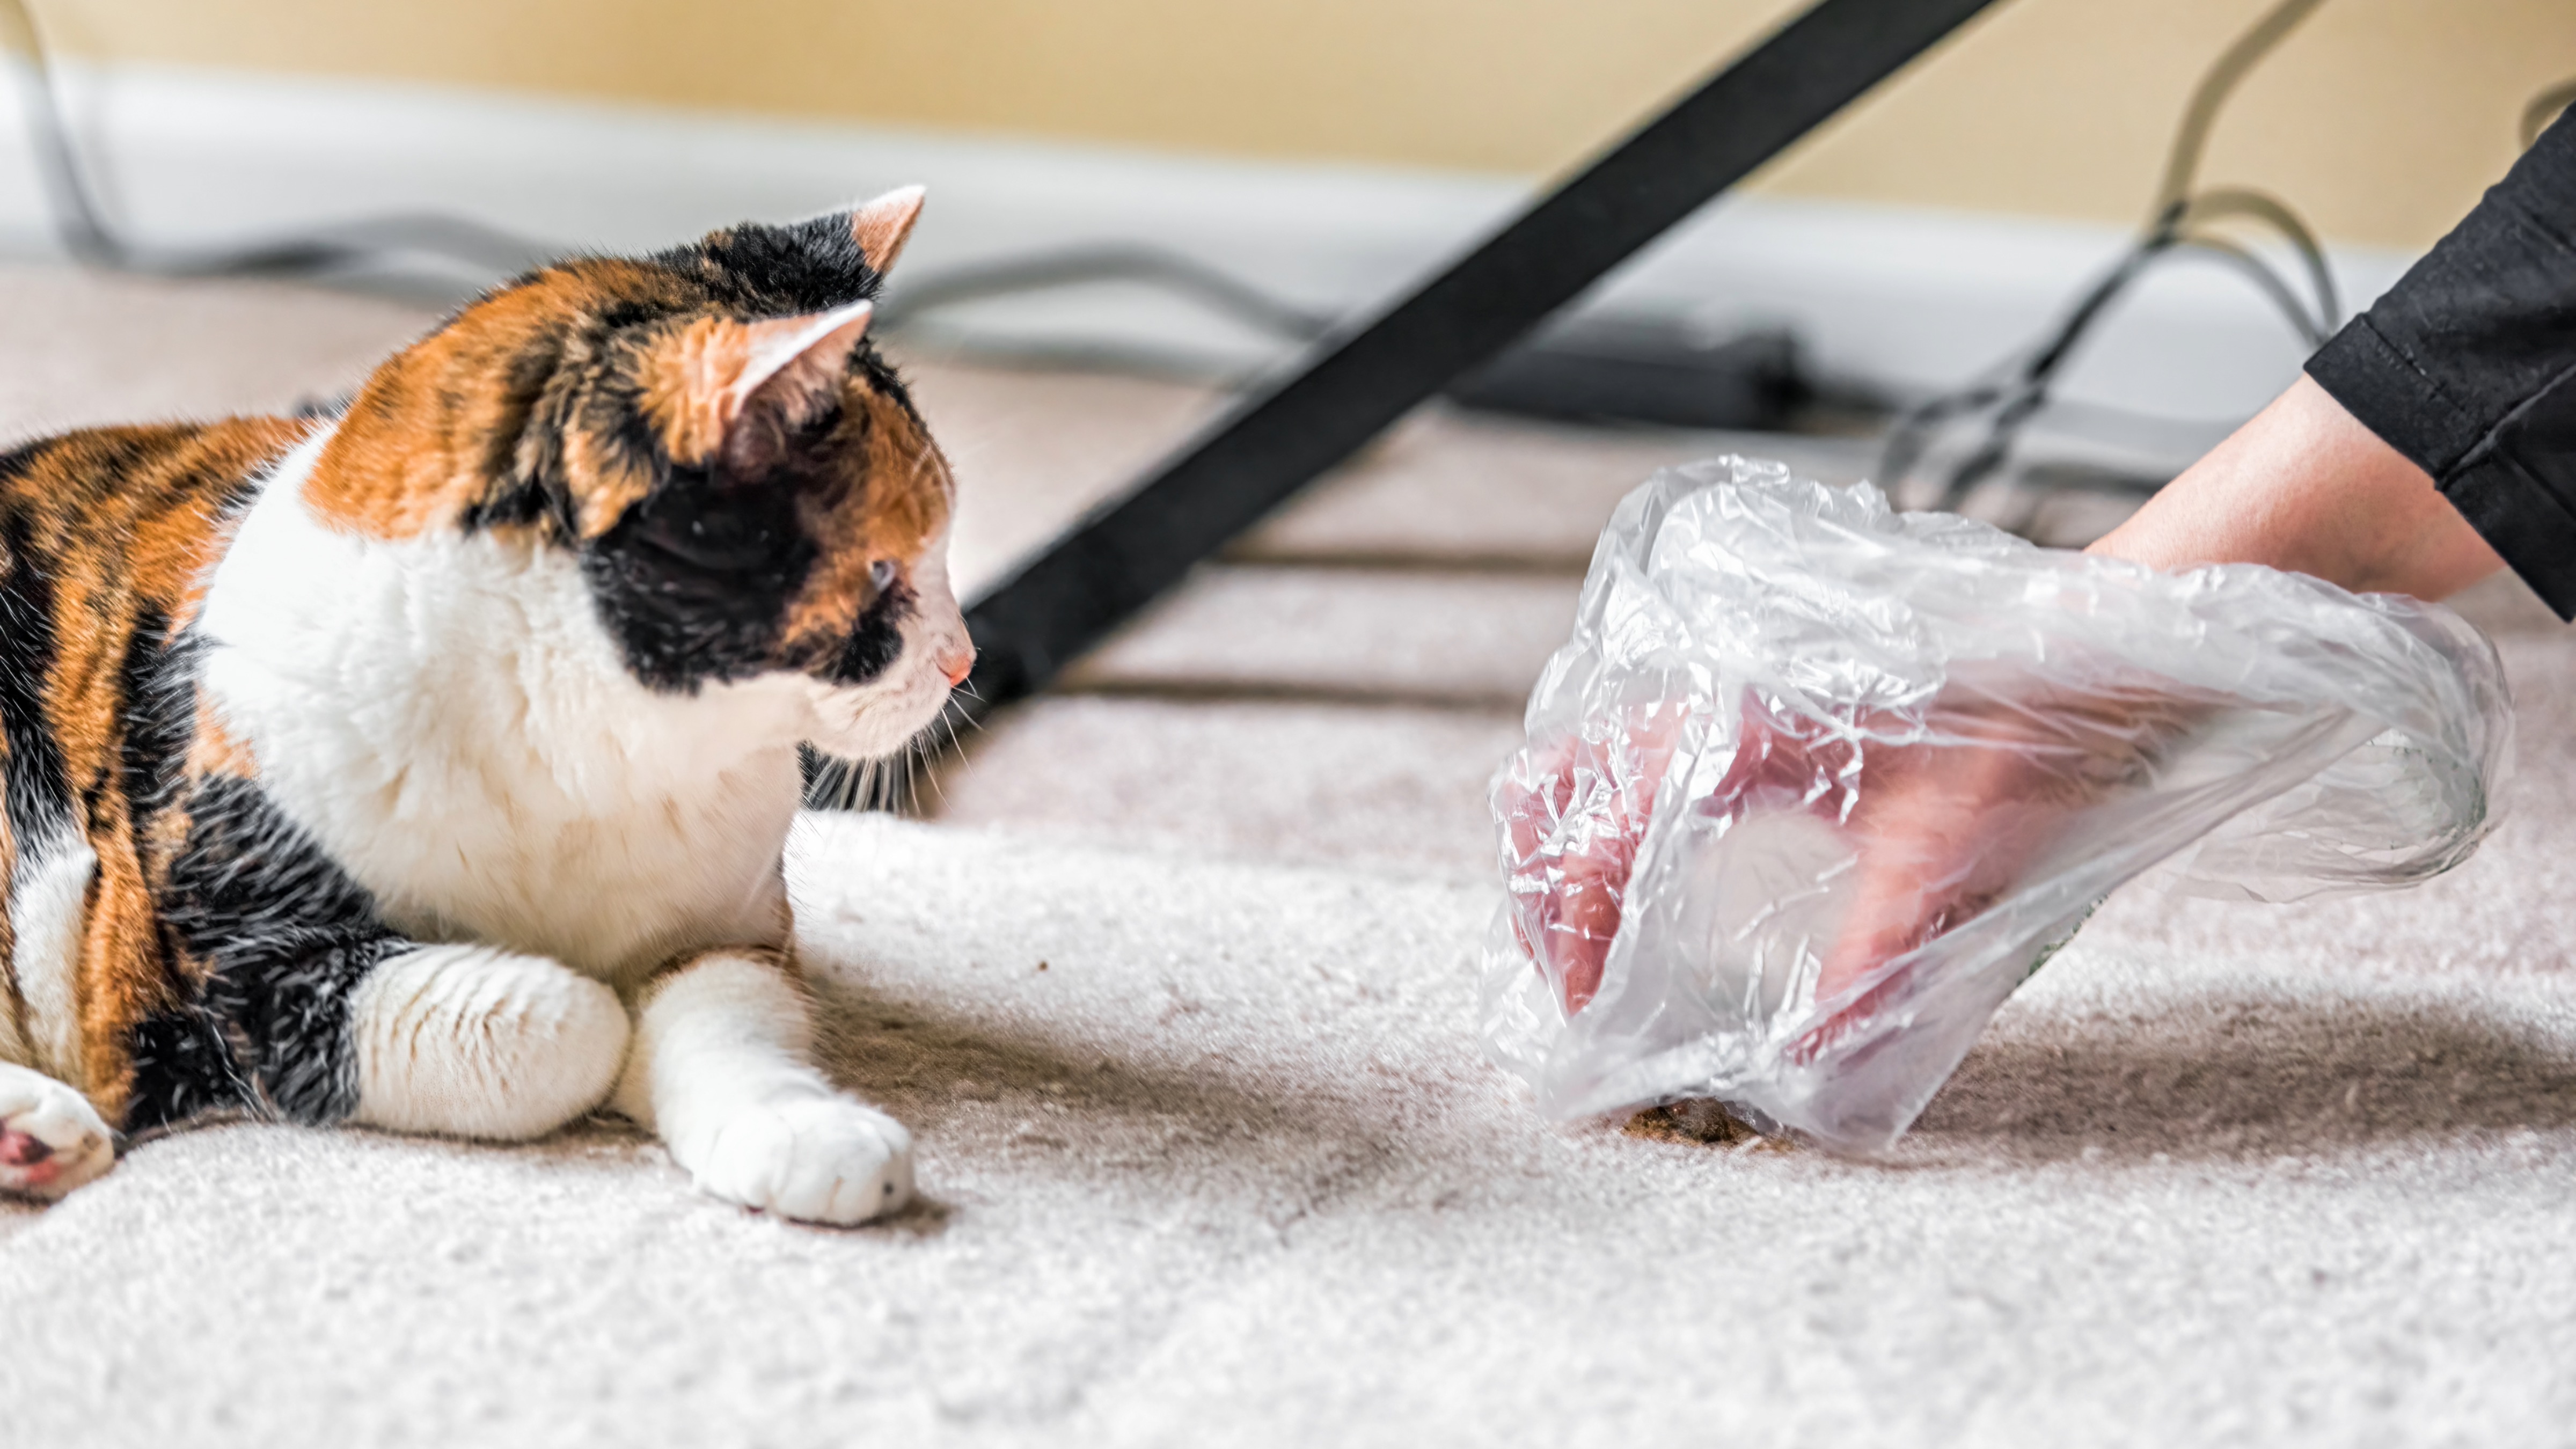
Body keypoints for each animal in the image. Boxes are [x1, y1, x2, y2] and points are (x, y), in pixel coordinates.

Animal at [0, 183, 968, 1217]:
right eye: (884, 571)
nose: (964, 660)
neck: (582, 764)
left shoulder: (732, 933)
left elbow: (728, 1018)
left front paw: (809, 1135)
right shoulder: (237, 969)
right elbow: (570, 1021)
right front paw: (604, 1029)